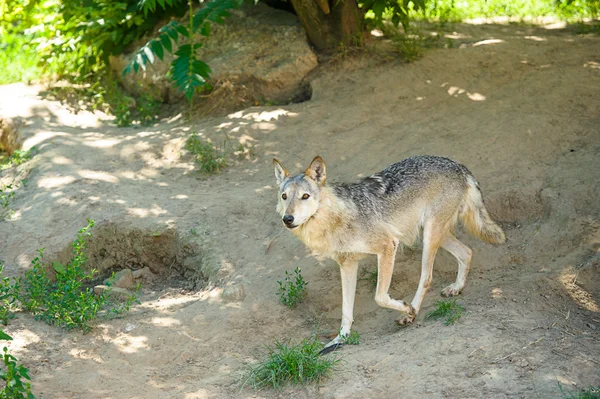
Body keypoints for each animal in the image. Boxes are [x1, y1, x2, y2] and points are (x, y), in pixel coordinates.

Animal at [274, 155, 504, 354]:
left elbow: (380, 297)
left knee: (427, 277)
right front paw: (340, 339)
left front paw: (406, 308)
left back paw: (412, 312)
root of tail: (457, 164)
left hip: (430, 236)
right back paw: (456, 288)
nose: (288, 219)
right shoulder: (347, 264)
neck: (335, 219)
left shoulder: (387, 247)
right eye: (285, 197)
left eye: (305, 196)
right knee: (467, 252)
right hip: (432, 234)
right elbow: (346, 310)